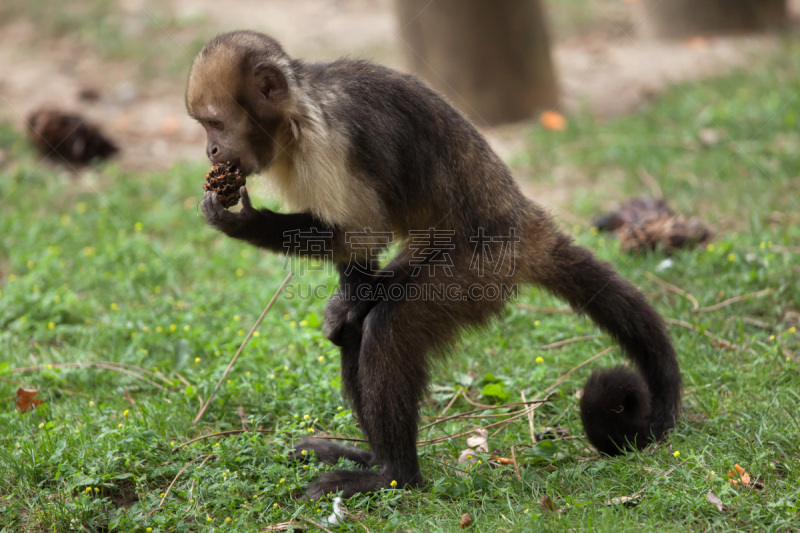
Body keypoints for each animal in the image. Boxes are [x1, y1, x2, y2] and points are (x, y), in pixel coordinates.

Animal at [186, 31, 680, 498]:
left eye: (216, 123)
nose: (211, 150)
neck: (297, 110)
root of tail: (523, 220)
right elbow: (356, 254)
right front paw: (351, 299)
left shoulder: (326, 140)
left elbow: (364, 232)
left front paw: (243, 222)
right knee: (361, 329)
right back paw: (370, 454)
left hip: (483, 271)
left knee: (391, 326)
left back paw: (394, 475)